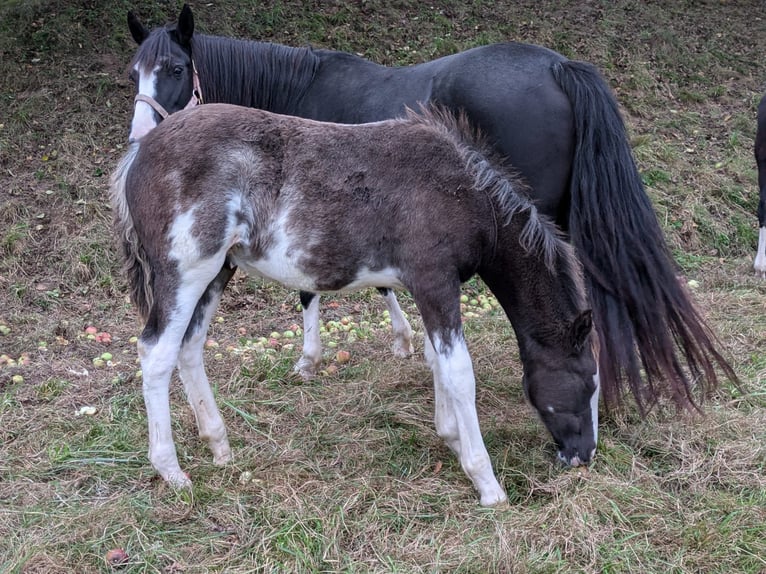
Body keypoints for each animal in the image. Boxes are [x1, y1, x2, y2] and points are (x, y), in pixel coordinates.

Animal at [109, 104, 600, 508]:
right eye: (589, 382)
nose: (584, 456)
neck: (466, 193)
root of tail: (140, 152)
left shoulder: (428, 290)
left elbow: (435, 362)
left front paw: (451, 438)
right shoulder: (435, 283)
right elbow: (459, 373)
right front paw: (486, 482)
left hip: (217, 273)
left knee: (190, 347)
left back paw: (219, 446)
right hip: (187, 272)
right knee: (156, 353)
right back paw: (172, 472)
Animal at [124, 5, 736, 418]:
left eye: (175, 68)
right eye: (134, 72)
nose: (140, 139)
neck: (297, 89)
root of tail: (561, 66)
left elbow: (310, 293)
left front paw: (310, 359)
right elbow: (380, 283)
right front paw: (406, 343)